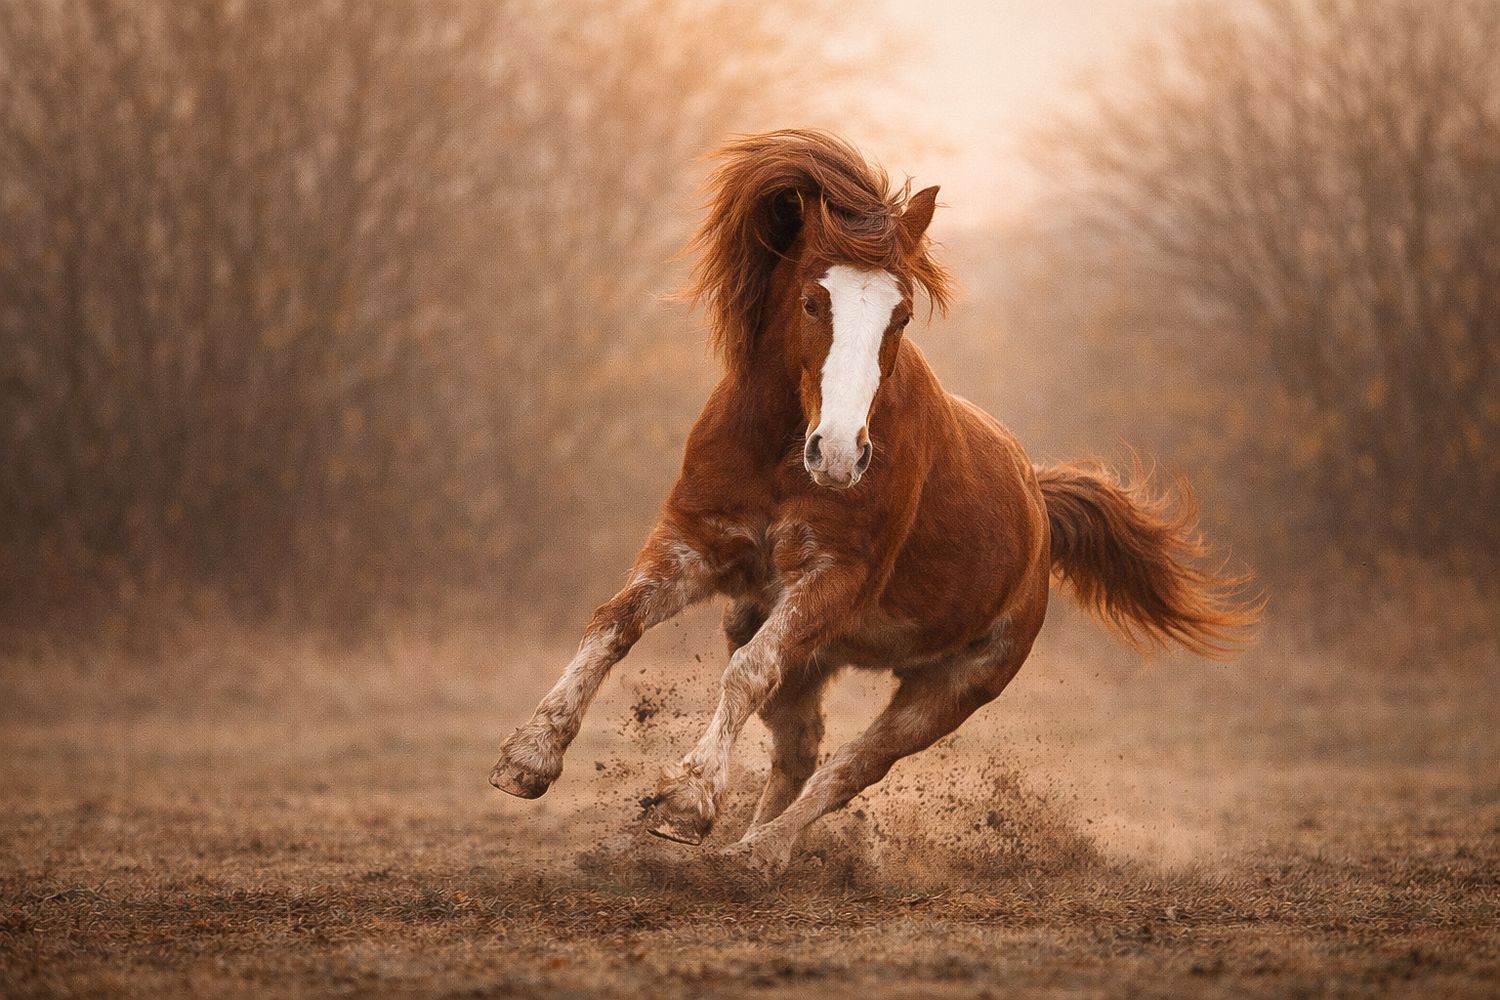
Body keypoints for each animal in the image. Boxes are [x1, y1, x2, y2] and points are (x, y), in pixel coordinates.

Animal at [489, 129, 1258, 871]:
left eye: (902, 314)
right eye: (812, 301)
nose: (837, 454)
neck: (780, 451)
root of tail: (1038, 506)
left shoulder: (833, 580)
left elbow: (747, 674)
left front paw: (686, 801)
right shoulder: (695, 545)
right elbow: (615, 623)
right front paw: (530, 758)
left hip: (950, 689)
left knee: (851, 768)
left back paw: (760, 855)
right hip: (792, 642)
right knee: (800, 750)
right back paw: (735, 854)